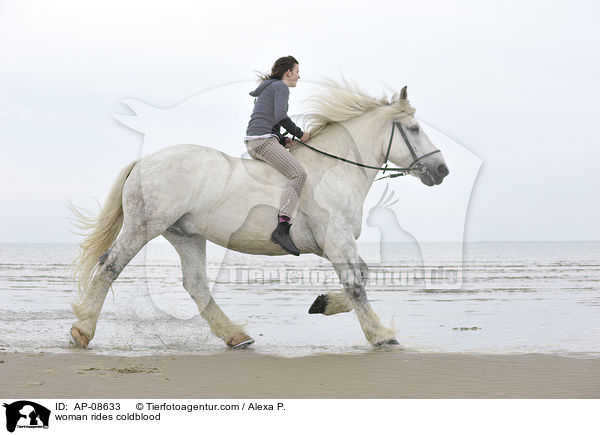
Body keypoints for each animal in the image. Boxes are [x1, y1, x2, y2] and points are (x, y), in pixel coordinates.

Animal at [70, 81, 448, 350]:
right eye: (414, 128)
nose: (441, 170)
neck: (337, 168)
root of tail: (143, 161)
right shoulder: (337, 241)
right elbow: (357, 285)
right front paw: (381, 334)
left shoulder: (334, 244)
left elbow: (364, 276)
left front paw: (322, 303)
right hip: (145, 226)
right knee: (110, 267)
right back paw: (81, 331)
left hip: (186, 234)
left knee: (196, 285)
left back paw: (236, 337)